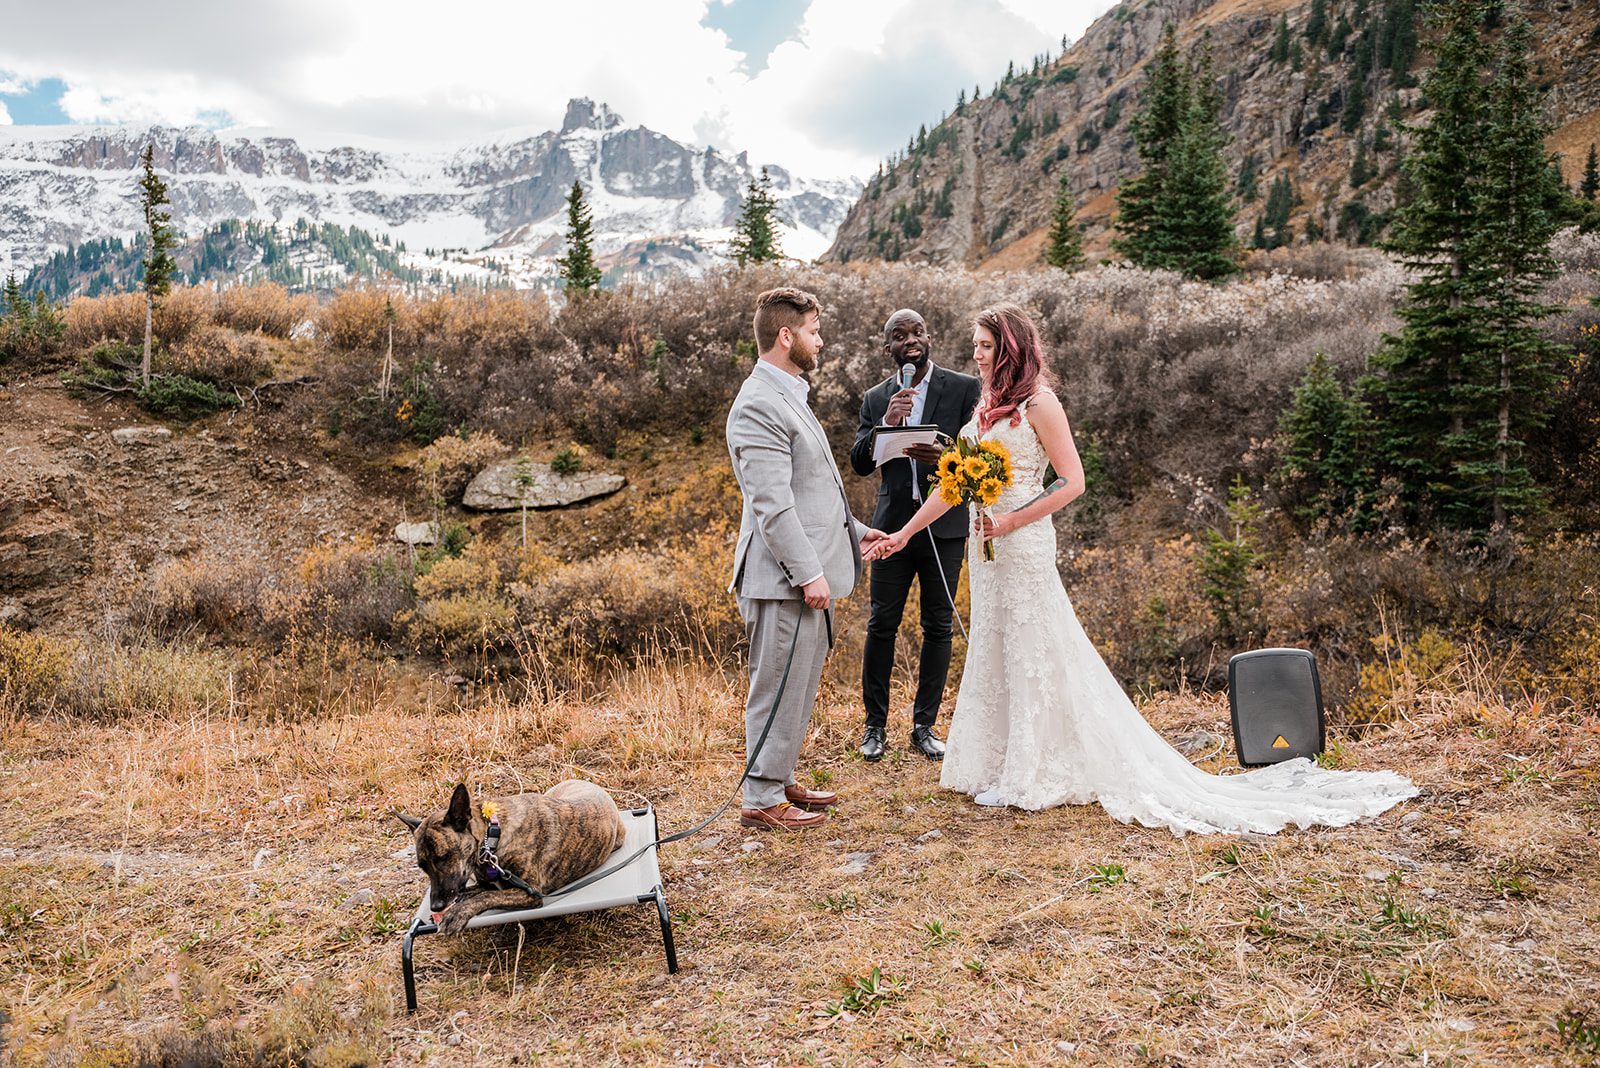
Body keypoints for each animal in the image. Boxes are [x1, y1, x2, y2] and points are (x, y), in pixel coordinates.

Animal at [396, 777, 627, 933]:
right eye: (422, 866)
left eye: (443, 858)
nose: (436, 906)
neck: (492, 837)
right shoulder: (485, 883)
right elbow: (472, 892)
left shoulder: (531, 892)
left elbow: (486, 896)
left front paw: (457, 913)